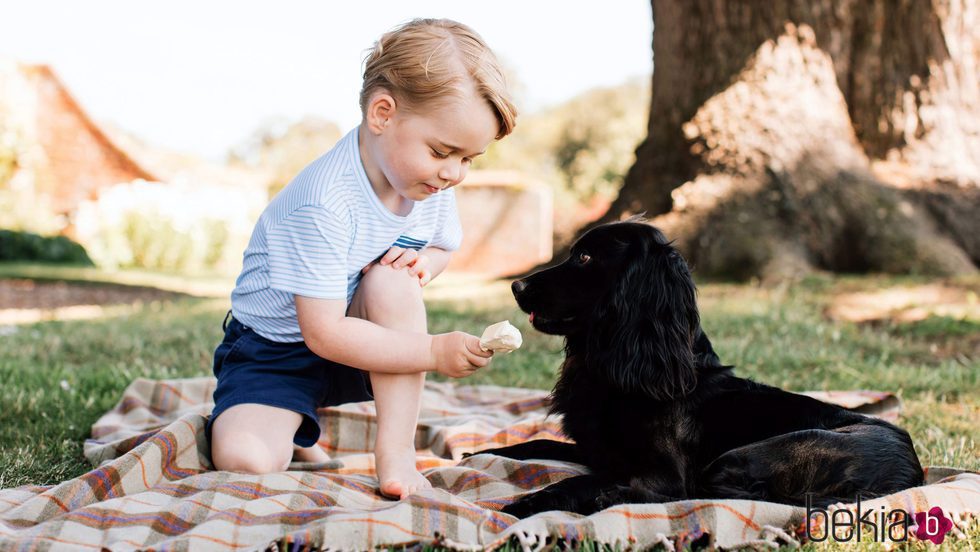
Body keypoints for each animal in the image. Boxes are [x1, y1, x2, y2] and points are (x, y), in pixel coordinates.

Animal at [470, 220, 924, 516]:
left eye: (584, 257)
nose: (516, 286)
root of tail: (911, 475)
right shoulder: (596, 450)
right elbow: (536, 444)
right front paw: (479, 453)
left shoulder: (662, 472)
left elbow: (588, 479)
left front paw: (532, 501)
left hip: (744, 457)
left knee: (710, 497)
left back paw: (608, 500)